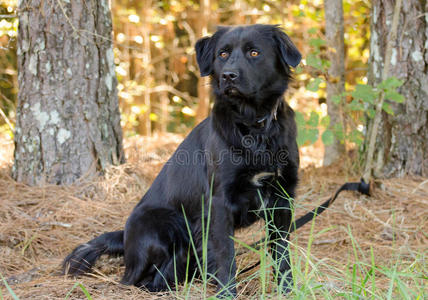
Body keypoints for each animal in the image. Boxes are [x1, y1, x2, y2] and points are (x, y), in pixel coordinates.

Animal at [64, 24, 304, 296]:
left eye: (254, 52)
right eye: (222, 54)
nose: (228, 76)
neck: (253, 125)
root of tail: (124, 236)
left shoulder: (282, 197)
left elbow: (281, 252)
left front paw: (288, 290)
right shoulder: (218, 203)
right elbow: (226, 255)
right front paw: (226, 294)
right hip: (164, 224)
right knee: (138, 279)